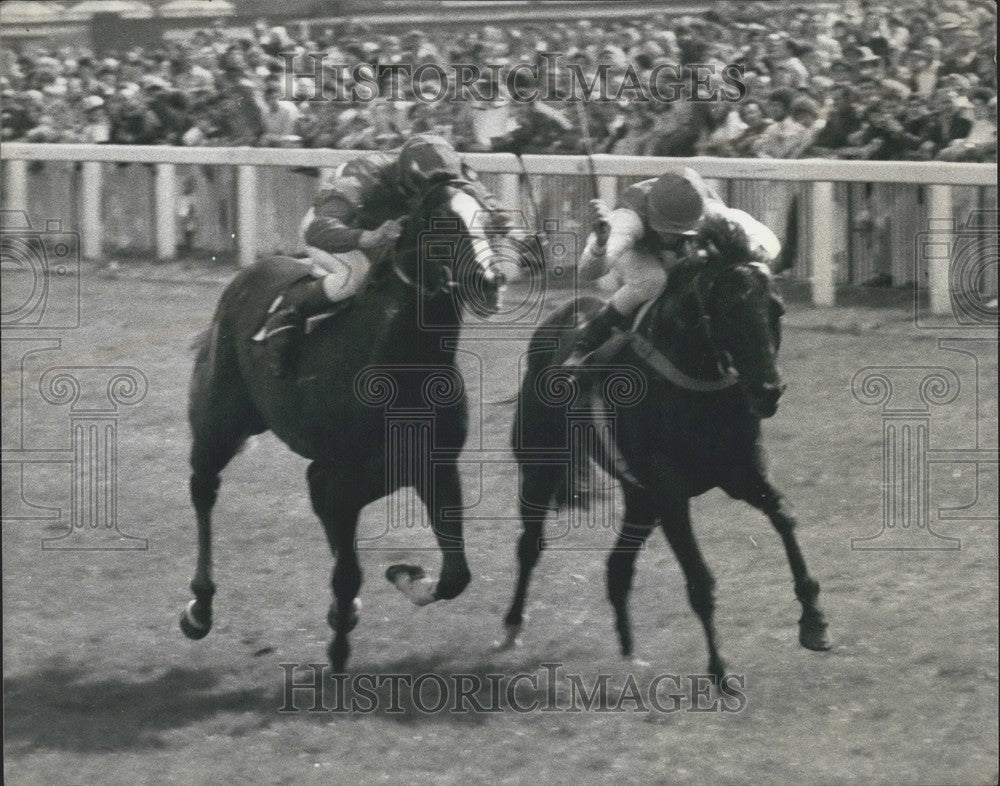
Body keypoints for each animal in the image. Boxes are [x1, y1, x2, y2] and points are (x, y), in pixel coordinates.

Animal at [179, 176, 504, 668]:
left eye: (490, 219)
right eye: (445, 222)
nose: (491, 280)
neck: (401, 365)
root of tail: (246, 276)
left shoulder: (433, 468)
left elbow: (455, 574)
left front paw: (405, 577)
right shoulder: (340, 476)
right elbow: (348, 569)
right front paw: (338, 648)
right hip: (220, 422)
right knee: (203, 487)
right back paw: (199, 608)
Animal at [504, 222, 832, 680]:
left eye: (778, 310)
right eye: (728, 311)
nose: (769, 391)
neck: (696, 383)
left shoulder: (741, 473)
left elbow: (785, 517)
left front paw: (814, 620)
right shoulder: (671, 494)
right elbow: (700, 578)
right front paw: (719, 668)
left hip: (639, 498)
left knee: (617, 567)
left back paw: (629, 652)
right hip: (540, 467)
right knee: (530, 546)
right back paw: (512, 627)